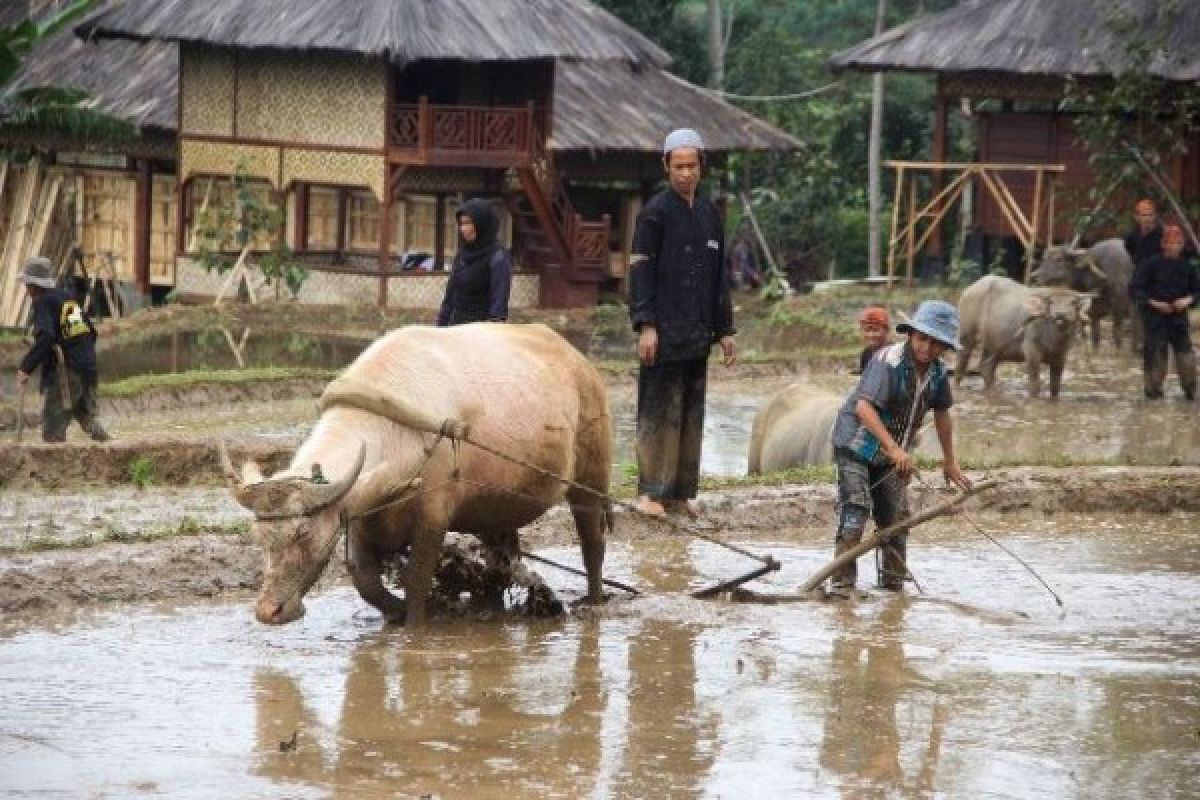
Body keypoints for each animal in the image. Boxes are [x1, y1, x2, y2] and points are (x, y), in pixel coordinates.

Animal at [218, 321, 609, 628]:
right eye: (258, 536)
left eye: (303, 533)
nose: (269, 611)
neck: (397, 432)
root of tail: (581, 363)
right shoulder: (360, 511)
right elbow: (364, 580)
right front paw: (400, 611)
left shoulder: (434, 515)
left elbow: (417, 579)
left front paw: (416, 622)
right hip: (496, 504)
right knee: (499, 557)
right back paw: (489, 605)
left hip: (591, 475)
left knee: (592, 540)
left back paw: (593, 601)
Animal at [960, 275, 1094, 400]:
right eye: (1051, 302)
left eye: (1073, 302)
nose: (1060, 314)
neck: (1054, 339)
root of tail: (969, 290)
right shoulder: (1031, 351)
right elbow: (1035, 384)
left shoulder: (1061, 356)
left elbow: (1055, 386)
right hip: (966, 336)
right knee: (961, 366)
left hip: (994, 346)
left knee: (986, 368)